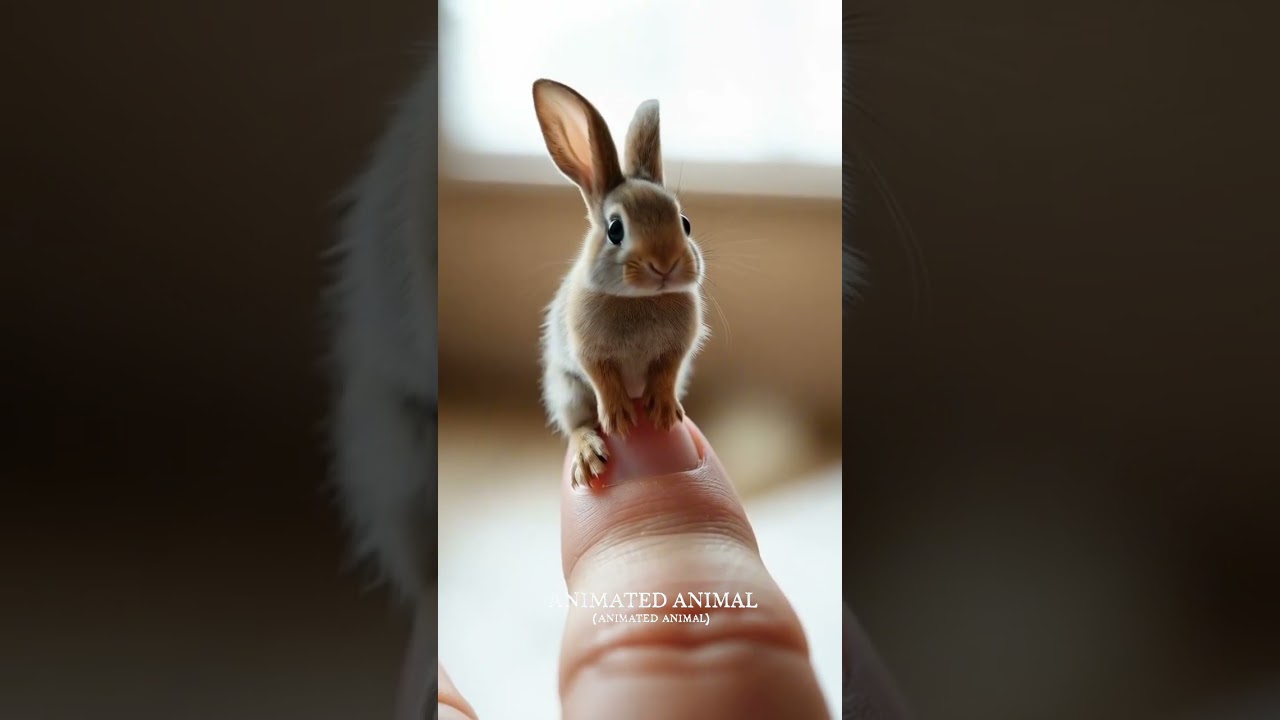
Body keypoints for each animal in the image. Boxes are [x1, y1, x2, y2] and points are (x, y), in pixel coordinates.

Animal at [532, 79, 710, 490]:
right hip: (566, 390)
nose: (665, 265)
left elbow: (666, 372)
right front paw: (619, 418)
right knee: (577, 423)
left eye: (685, 223)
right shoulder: (588, 353)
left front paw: (663, 412)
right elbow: (603, 379)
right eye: (615, 230)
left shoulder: (677, 349)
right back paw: (587, 454)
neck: (639, 298)